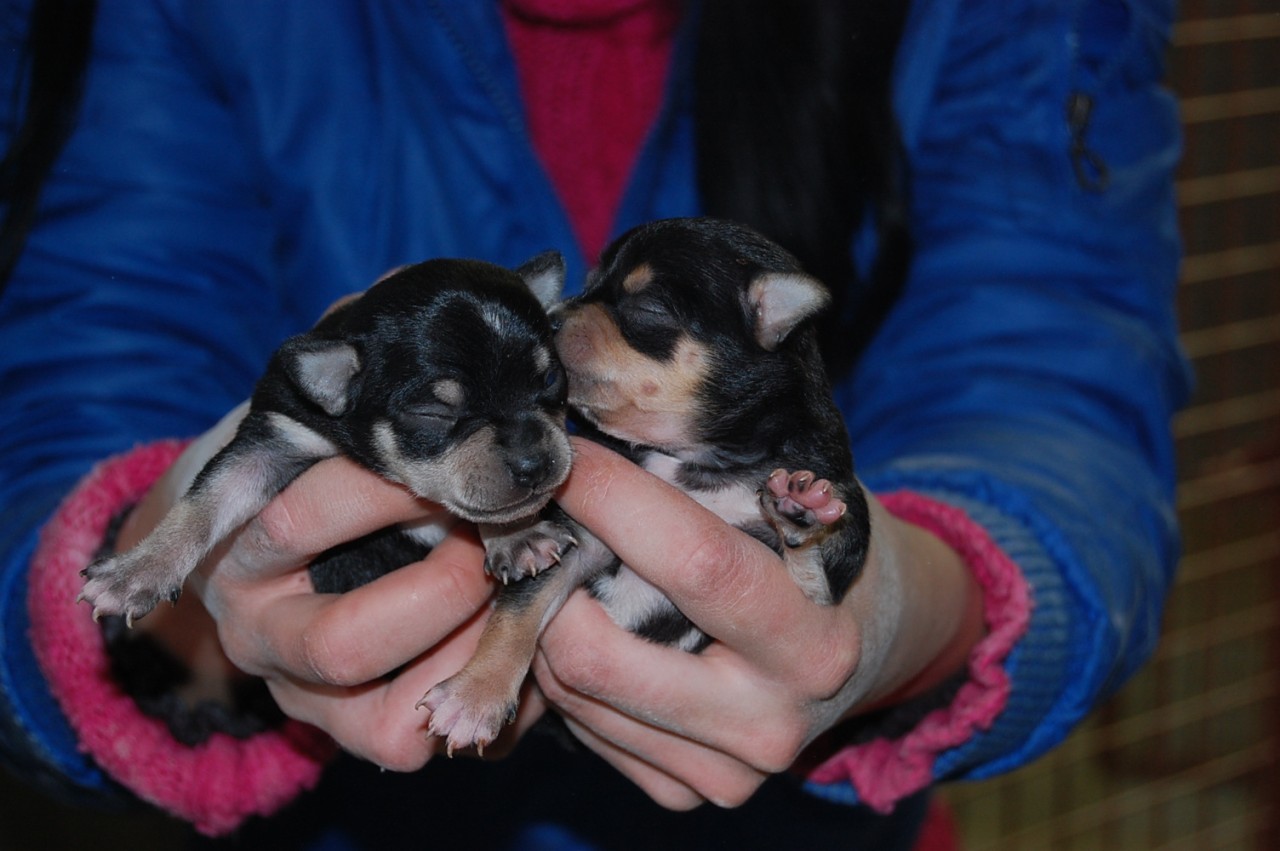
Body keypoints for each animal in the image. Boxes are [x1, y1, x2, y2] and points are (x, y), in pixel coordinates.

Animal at [82, 252, 573, 624]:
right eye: (433, 414)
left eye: (551, 378)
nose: (533, 463)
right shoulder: (276, 436)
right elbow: (208, 499)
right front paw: (138, 571)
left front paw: (515, 534)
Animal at [419, 216, 870, 752]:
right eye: (588, 284)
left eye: (647, 307)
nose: (549, 316)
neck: (692, 460)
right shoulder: (578, 541)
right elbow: (519, 611)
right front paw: (475, 696)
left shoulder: (808, 597)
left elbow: (814, 577)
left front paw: (800, 513)